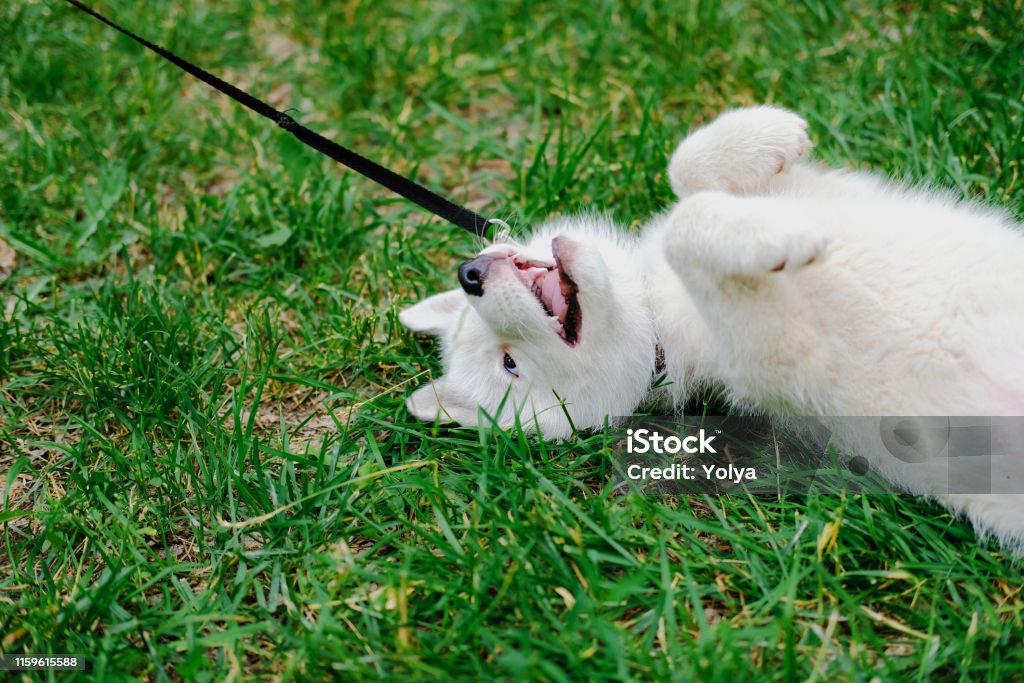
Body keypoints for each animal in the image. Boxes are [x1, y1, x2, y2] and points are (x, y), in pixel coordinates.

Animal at [397, 104, 1024, 548]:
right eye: (509, 364)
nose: (470, 273)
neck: (659, 309)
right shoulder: (778, 354)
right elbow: (686, 226)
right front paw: (778, 235)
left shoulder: (826, 191)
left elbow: (685, 170)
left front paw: (769, 135)